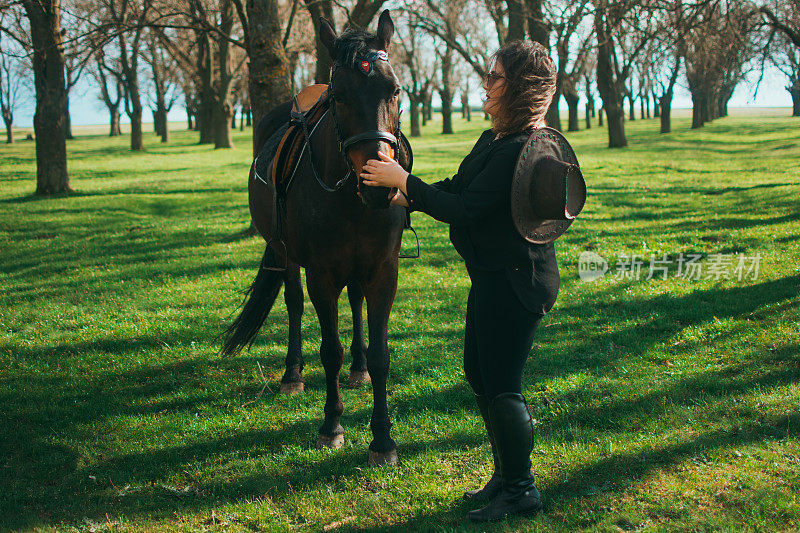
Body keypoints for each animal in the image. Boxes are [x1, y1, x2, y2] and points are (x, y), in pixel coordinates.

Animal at [223, 9, 412, 466]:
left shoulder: (384, 271)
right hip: (284, 253)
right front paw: (332, 425)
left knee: (356, 302)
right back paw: (292, 373)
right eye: (339, 96)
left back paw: (358, 371)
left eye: (395, 90)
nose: (379, 184)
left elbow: (381, 354)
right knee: (293, 304)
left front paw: (382, 438)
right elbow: (330, 350)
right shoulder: (321, 275)